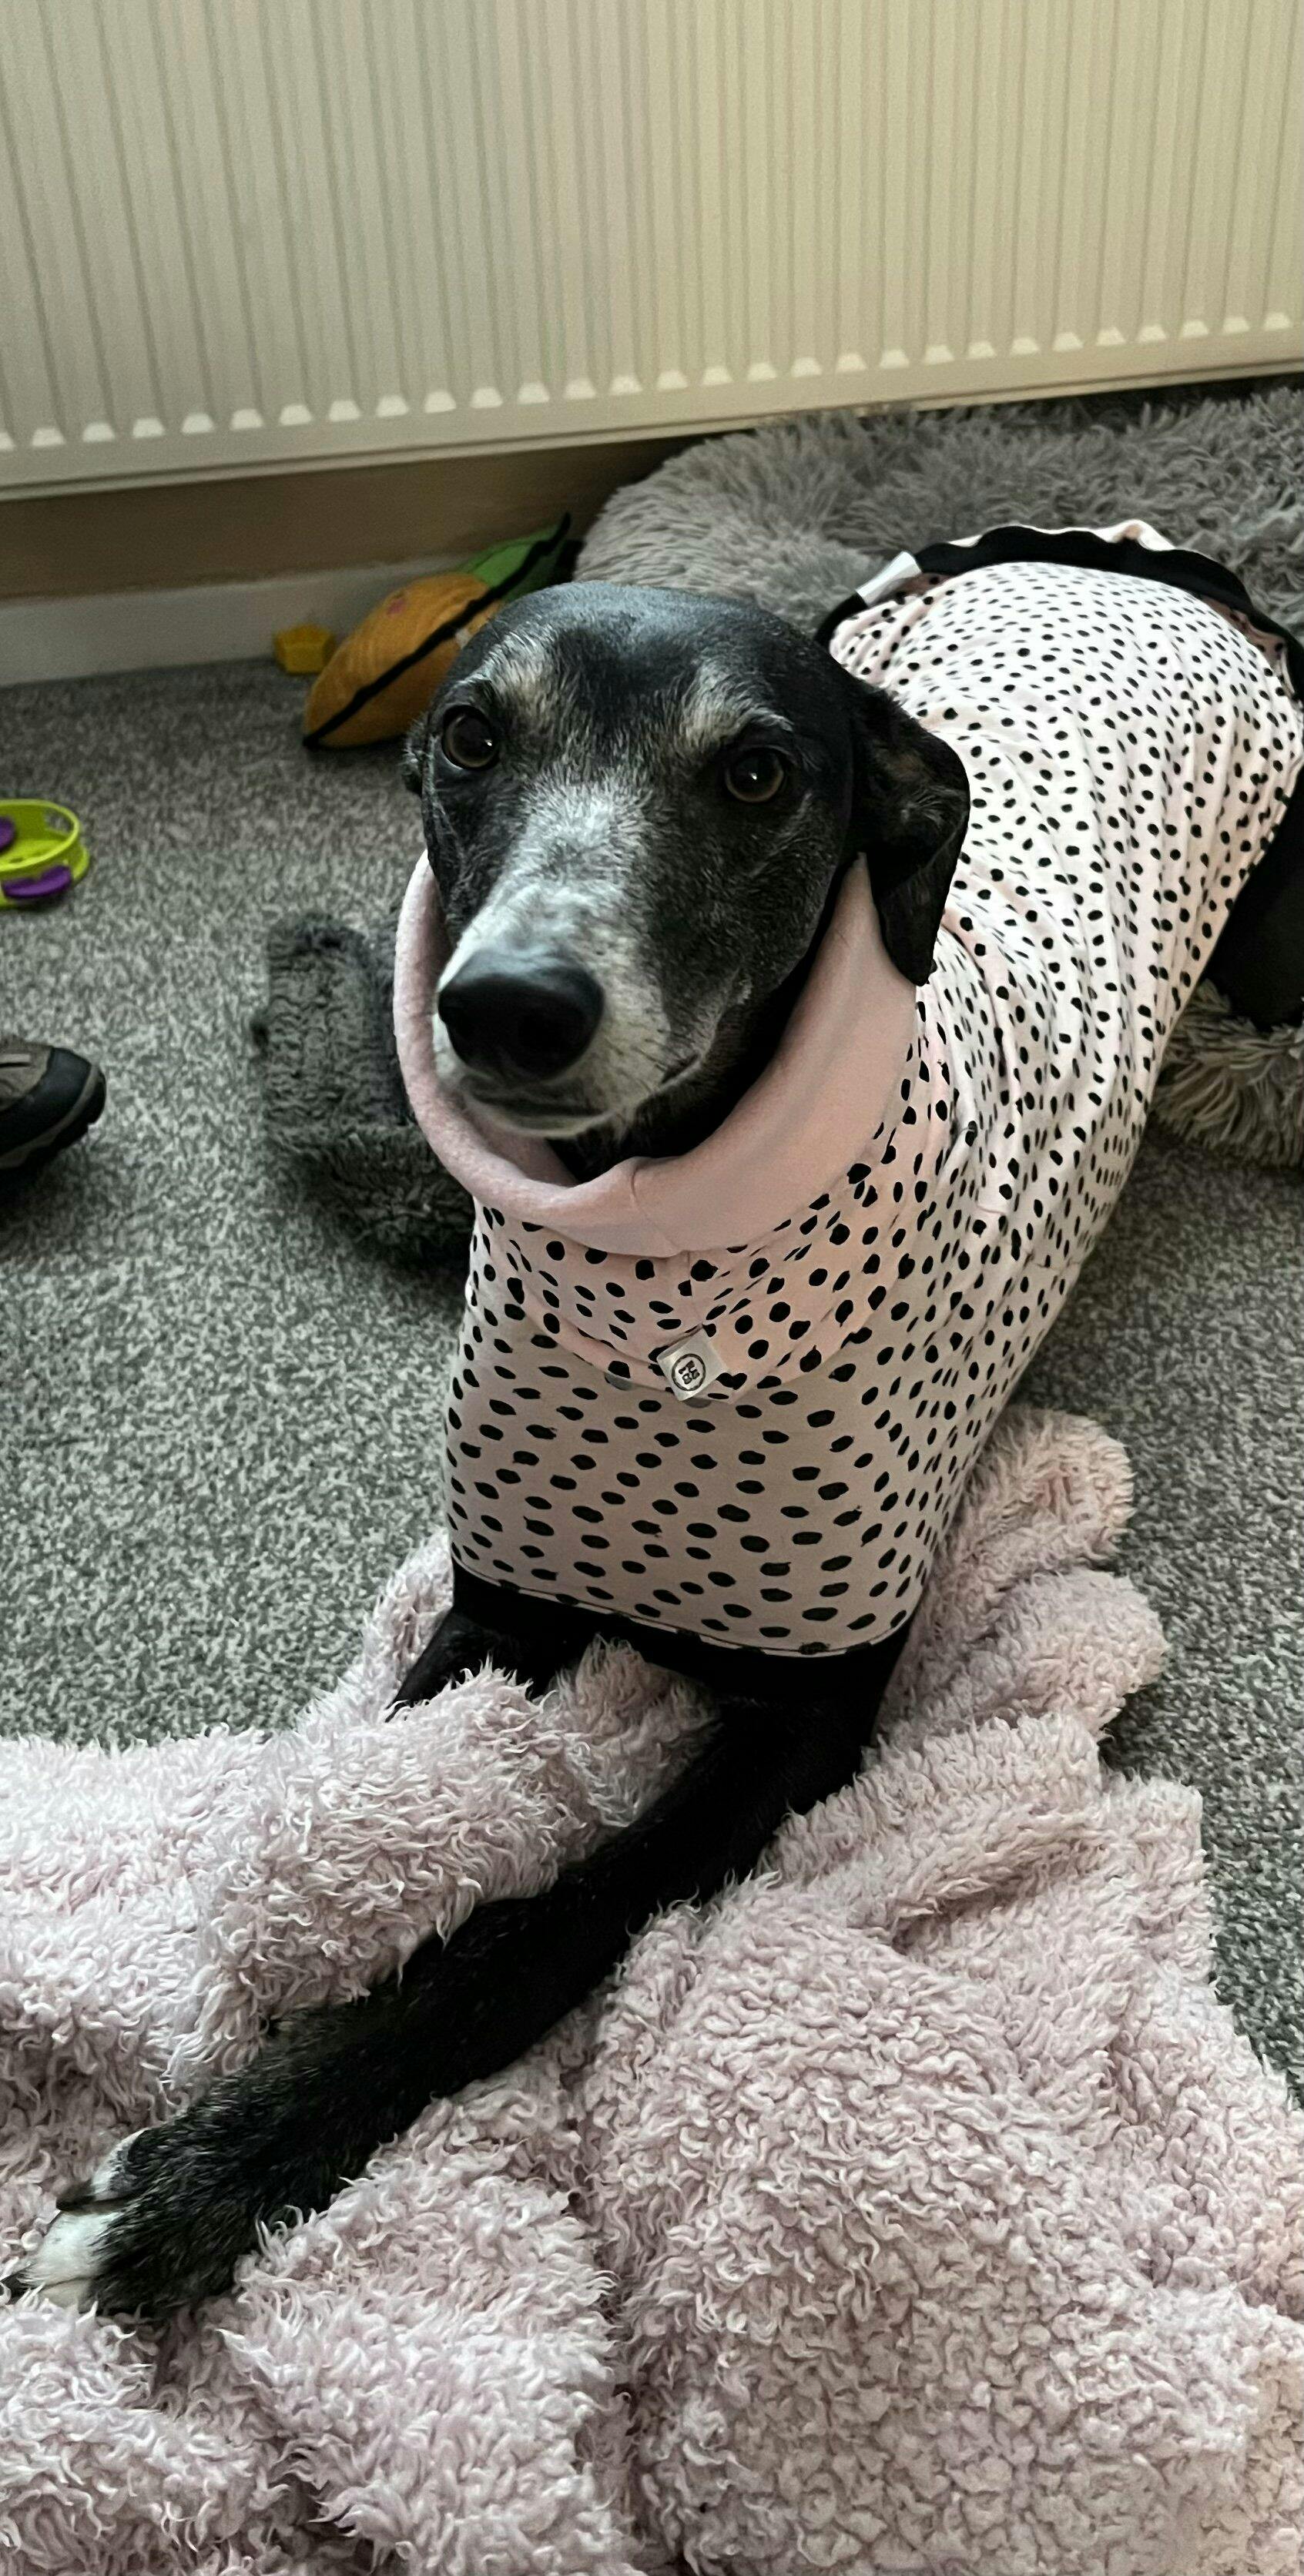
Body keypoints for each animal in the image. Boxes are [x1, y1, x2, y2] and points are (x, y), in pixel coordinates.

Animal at [15, 528, 1302, 2317]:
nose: (505, 1009)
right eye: (470, 735)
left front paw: (209, 2177)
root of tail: (1132, 560)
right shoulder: (502, 1604)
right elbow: (379, 1807)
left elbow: (540, 1921)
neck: (656, 1261)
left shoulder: (797, 1724)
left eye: (756, 771)